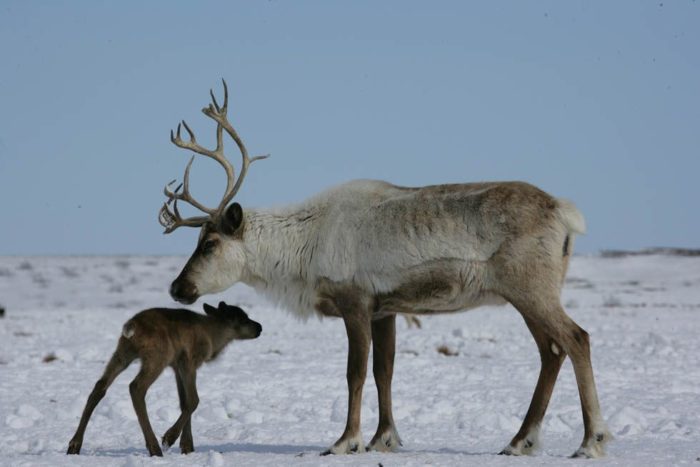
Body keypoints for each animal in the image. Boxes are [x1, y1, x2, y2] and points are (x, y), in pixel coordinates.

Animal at [66, 300, 260, 458]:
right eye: (242, 318)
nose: (259, 327)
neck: (213, 337)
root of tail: (132, 326)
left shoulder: (176, 366)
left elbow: (183, 402)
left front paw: (187, 447)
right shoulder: (188, 361)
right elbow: (193, 400)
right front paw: (170, 438)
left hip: (123, 352)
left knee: (100, 386)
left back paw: (74, 445)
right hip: (158, 356)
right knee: (136, 387)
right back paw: (154, 448)